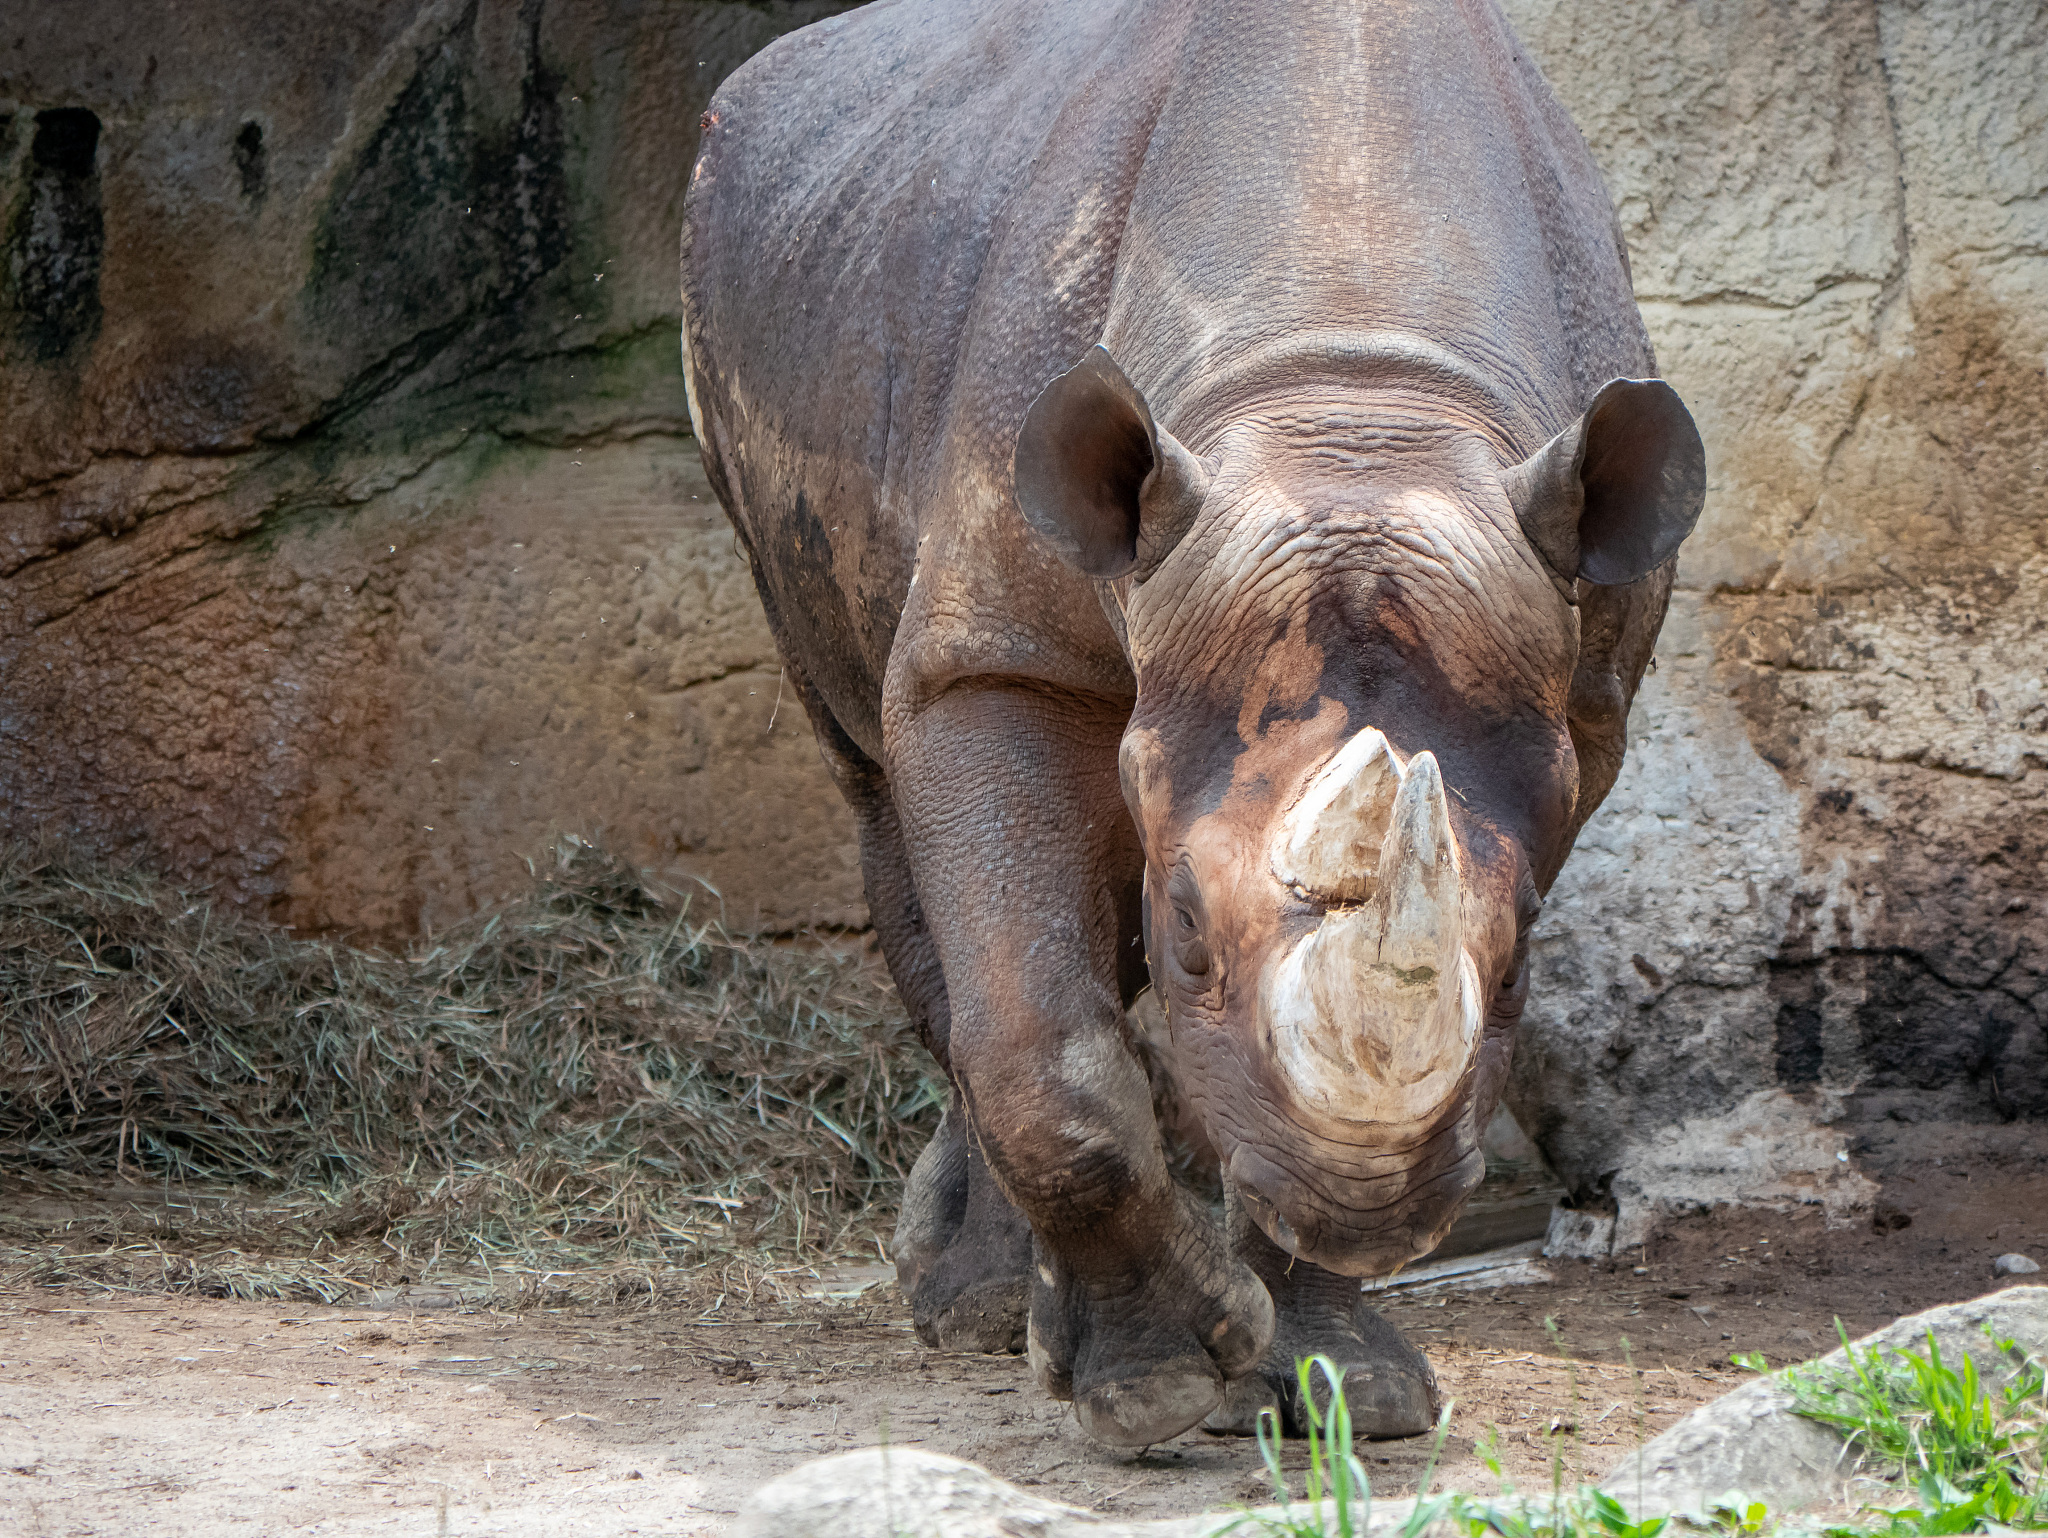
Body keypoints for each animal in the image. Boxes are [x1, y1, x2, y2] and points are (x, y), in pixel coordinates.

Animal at [681, 0, 1703, 1448]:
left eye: (1523, 961)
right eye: (1190, 936)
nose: (1370, 1207)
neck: (1350, 399)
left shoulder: (1579, 703)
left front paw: (1347, 1390)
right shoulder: (1000, 653)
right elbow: (1035, 1020)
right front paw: (1159, 1383)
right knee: (886, 800)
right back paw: (976, 1312)